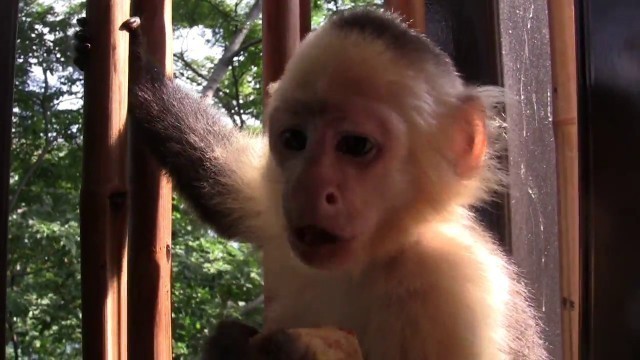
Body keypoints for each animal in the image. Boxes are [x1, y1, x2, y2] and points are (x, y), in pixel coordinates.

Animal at [74, 7, 544, 360]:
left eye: (355, 145)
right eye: (295, 140)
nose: (307, 188)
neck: (374, 257)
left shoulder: (454, 291)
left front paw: (276, 352)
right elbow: (226, 183)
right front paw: (134, 64)